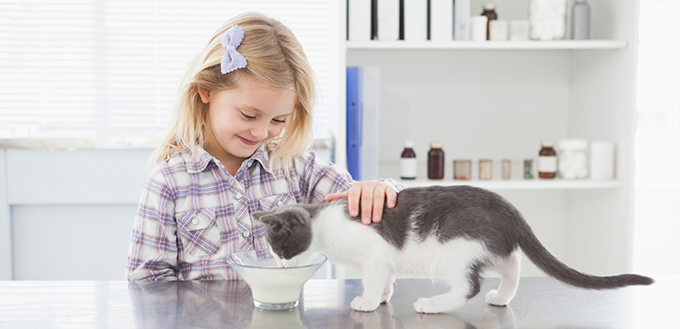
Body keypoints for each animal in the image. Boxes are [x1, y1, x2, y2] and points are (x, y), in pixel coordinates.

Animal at [251, 184, 652, 312]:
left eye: (282, 252)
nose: (281, 268)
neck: (323, 223)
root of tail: (508, 209)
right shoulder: (384, 260)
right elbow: (385, 277)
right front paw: (383, 295)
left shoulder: (375, 252)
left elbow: (373, 276)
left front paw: (367, 301)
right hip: (486, 245)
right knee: (512, 266)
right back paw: (501, 297)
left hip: (455, 248)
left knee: (468, 285)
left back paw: (433, 304)